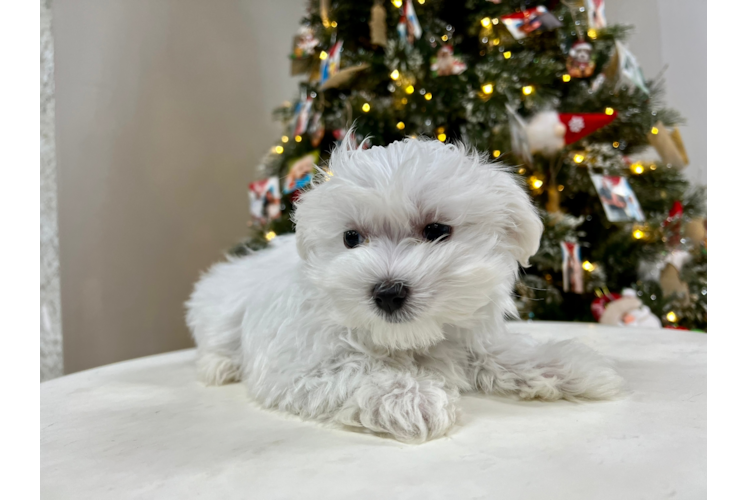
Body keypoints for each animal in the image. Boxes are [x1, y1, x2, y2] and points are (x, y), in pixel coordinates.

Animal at [186, 136, 620, 442]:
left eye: (437, 230)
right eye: (350, 238)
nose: (388, 292)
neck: (407, 339)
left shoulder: (467, 339)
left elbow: (502, 354)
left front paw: (566, 366)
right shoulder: (297, 366)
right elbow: (354, 370)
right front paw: (411, 397)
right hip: (218, 309)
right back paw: (221, 365)